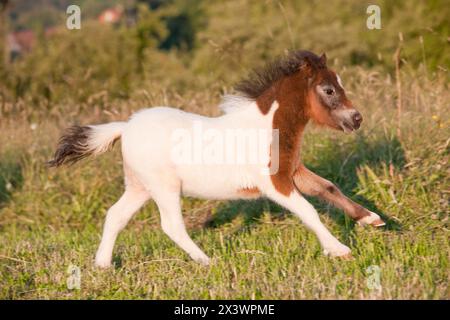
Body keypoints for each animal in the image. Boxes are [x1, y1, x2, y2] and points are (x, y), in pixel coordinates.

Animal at [50, 50, 386, 268]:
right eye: (328, 90)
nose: (356, 119)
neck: (267, 127)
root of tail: (126, 126)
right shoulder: (274, 183)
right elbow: (308, 211)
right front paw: (339, 250)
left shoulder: (293, 172)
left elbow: (328, 188)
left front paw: (372, 218)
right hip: (163, 187)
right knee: (171, 225)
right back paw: (206, 261)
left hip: (139, 187)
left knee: (115, 216)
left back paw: (103, 265)